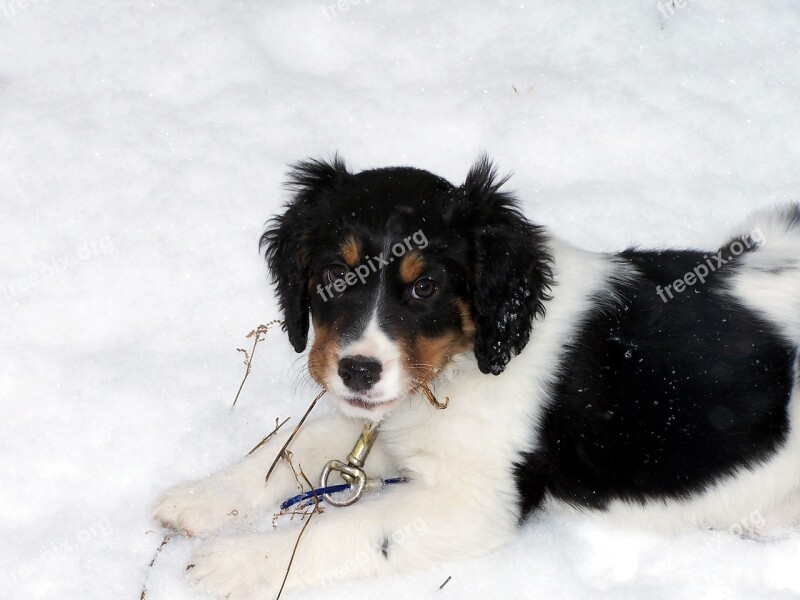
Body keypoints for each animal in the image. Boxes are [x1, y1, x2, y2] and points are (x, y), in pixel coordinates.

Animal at [155, 157, 800, 596]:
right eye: (335, 275)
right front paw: (200, 499)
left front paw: (233, 562)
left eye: (425, 287)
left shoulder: (472, 502)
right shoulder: (385, 420)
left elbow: (346, 530)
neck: (460, 365)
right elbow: (293, 447)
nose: (357, 371)